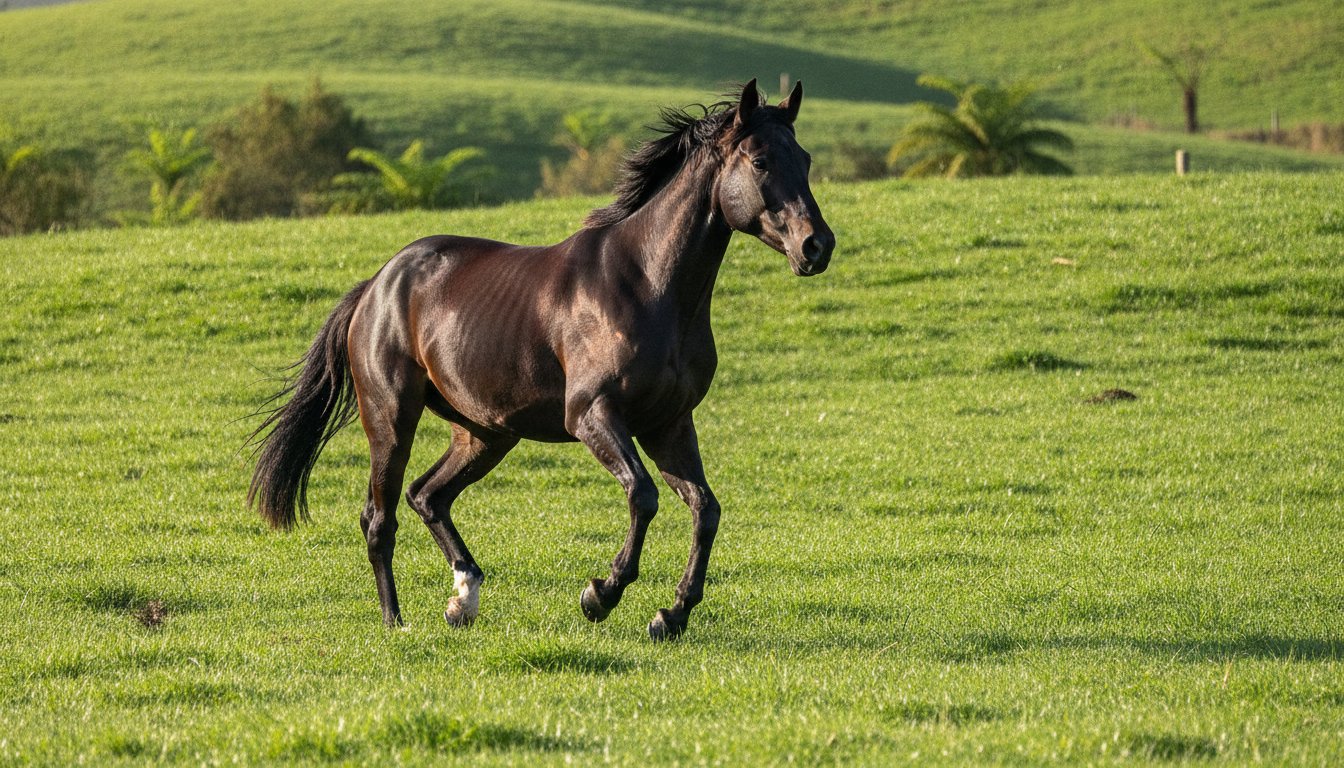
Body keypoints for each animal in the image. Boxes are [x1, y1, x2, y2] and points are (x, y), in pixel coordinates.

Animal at [247, 79, 835, 640]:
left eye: (804, 159)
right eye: (760, 161)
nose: (817, 246)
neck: (647, 286)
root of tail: (374, 287)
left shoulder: (668, 424)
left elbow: (705, 509)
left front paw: (671, 616)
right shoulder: (593, 415)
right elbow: (644, 496)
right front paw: (601, 595)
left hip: (484, 433)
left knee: (427, 495)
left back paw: (463, 598)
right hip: (392, 419)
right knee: (380, 518)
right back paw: (397, 622)